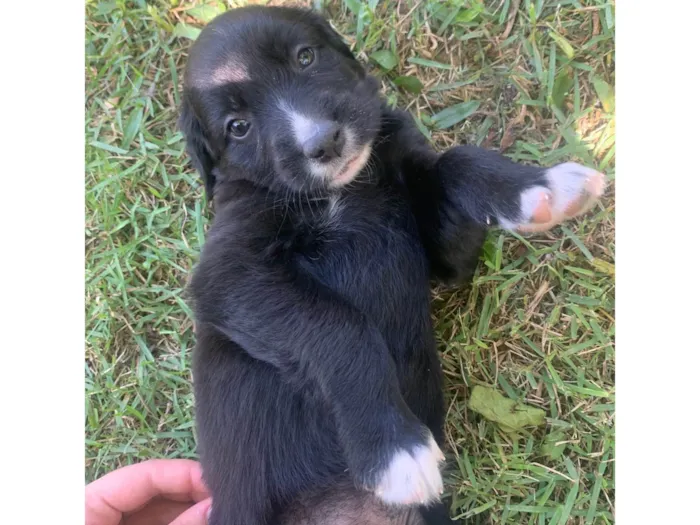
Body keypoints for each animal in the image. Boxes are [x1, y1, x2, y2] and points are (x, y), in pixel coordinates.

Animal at [179, 5, 600, 524]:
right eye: (237, 127)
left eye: (305, 57)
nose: (324, 142)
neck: (343, 190)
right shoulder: (229, 273)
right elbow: (340, 327)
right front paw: (395, 451)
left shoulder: (443, 256)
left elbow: (455, 164)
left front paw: (538, 188)